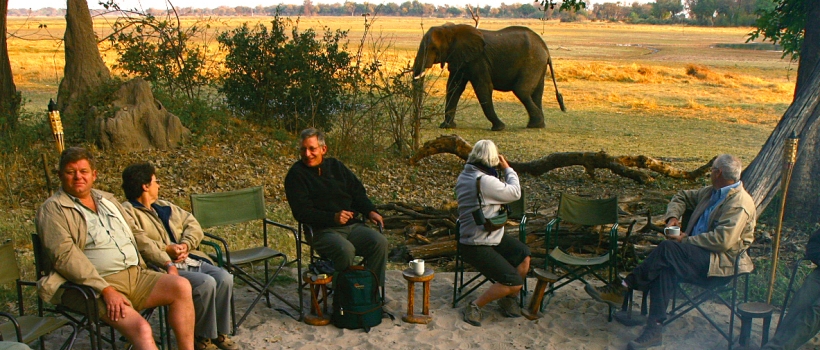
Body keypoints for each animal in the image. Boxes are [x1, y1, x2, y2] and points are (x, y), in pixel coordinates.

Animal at [410, 24, 564, 131]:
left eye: (432, 48)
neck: (451, 29)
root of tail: (545, 48)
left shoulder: (478, 59)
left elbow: (483, 87)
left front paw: (499, 128)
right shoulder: (460, 58)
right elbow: (454, 87)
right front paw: (447, 126)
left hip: (533, 62)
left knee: (522, 91)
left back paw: (535, 124)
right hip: (538, 65)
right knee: (536, 93)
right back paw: (537, 125)